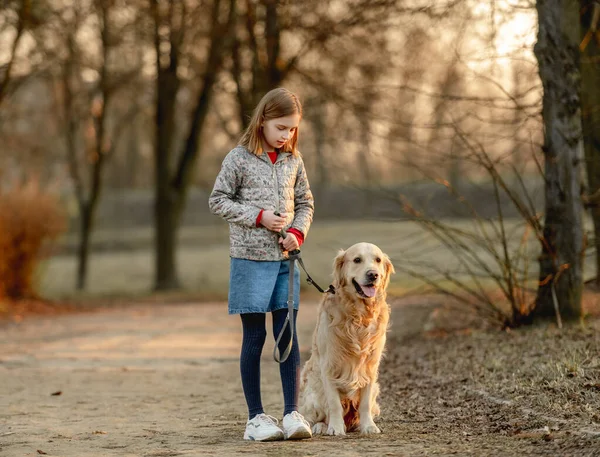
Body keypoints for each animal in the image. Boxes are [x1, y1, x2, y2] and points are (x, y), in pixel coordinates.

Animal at [298, 242, 394, 434]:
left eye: (378, 260)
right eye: (357, 260)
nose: (373, 274)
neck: (359, 316)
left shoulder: (370, 366)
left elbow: (364, 404)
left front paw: (369, 426)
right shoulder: (329, 364)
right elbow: (334, 403)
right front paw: (335, 428)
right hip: (313, 393)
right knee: (314, 417)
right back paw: (322, 426)